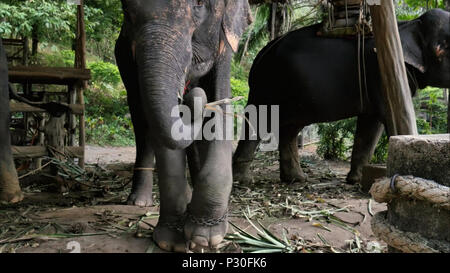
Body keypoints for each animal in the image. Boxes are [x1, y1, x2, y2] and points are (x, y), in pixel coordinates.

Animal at [114, 0, 251, 251]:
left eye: (199, 4)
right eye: (126, 11)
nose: (191, 96)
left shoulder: (224, 44)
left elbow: (221, 102)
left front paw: (206, 237)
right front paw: (172, 241)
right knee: (141, 123)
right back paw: (139, 202)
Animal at [232, 9, 450, 185]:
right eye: (444, 47)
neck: (411, 23)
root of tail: (262, 53)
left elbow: (370, 125)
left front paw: (356, 180)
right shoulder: (382, 73)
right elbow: (388, 117)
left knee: (290, 129)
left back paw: (296, 179)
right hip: (268, 84)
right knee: (260, 121)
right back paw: (243, 181)